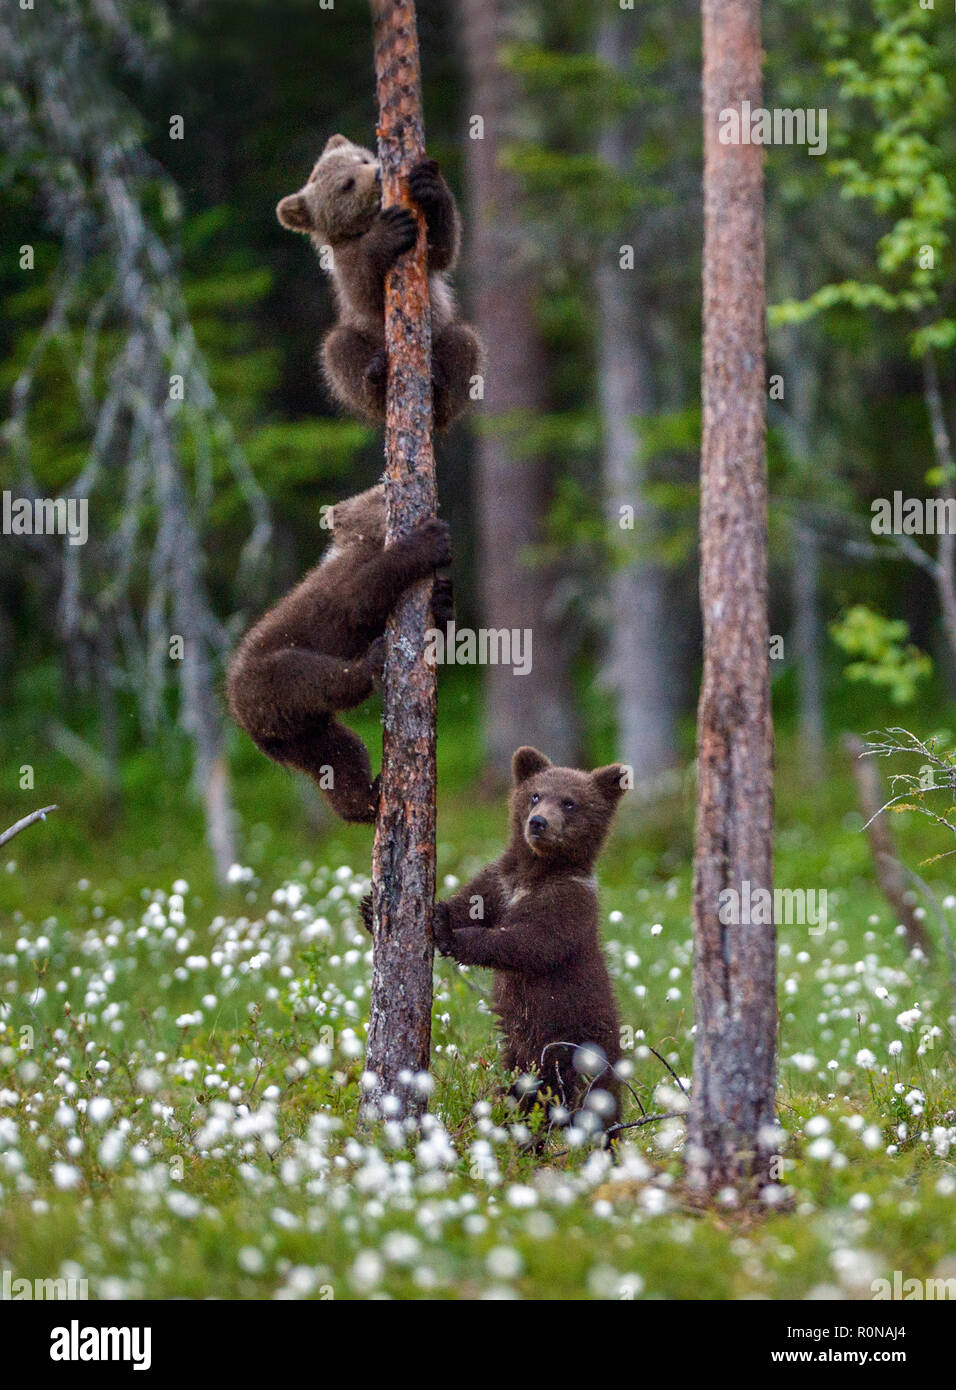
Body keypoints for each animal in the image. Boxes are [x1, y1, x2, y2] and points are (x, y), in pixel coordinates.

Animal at [226, 484, 453, 824]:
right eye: (383, 490)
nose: (387, 486)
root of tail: (248, 723)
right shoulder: (344, 580)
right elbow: (361, 596)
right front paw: (431, 540)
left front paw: (443, 599)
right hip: (266, 682)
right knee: (316, 676)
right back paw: (372, 662)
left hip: (302, 734)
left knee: (339, 755)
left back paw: (366, 801)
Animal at [276, 134, 483, 430]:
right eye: (346, 184)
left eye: (362, 158)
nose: (377, 173)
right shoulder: (344, 260)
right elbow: (364, 291)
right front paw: (389, 232)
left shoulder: (427, 253)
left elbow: (443, 249)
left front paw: (429, 185)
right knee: (338, 348)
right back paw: (375, 376)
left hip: (442, 335)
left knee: (464, 342)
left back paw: (440, 385)